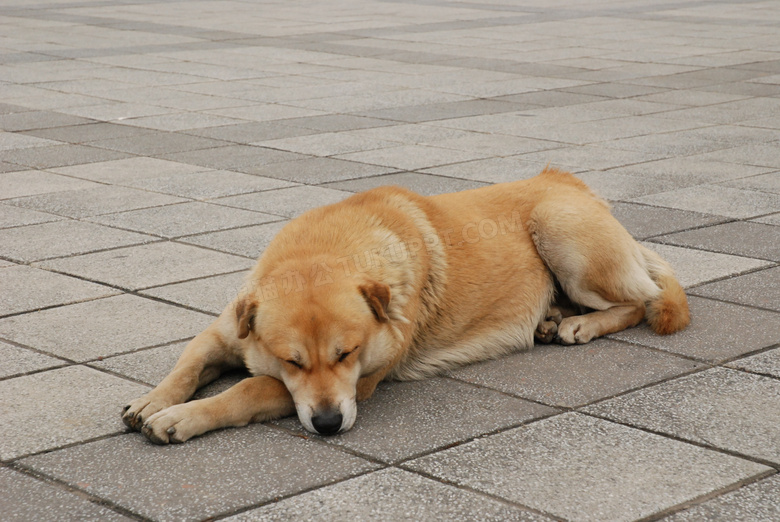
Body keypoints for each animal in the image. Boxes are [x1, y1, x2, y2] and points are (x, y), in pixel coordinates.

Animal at [122, 168, 688, 442]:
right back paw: (552, 318)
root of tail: (568, 181)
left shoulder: (360, 383)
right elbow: (188, 362)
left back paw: (580, 326)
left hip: (561, 234)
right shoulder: (225, 330)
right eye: (293, 360)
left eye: (346, 355)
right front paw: (152, 401)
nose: (328, 424)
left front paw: (180, 418)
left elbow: (248, 389)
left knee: (642, 299)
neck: (321, 251)